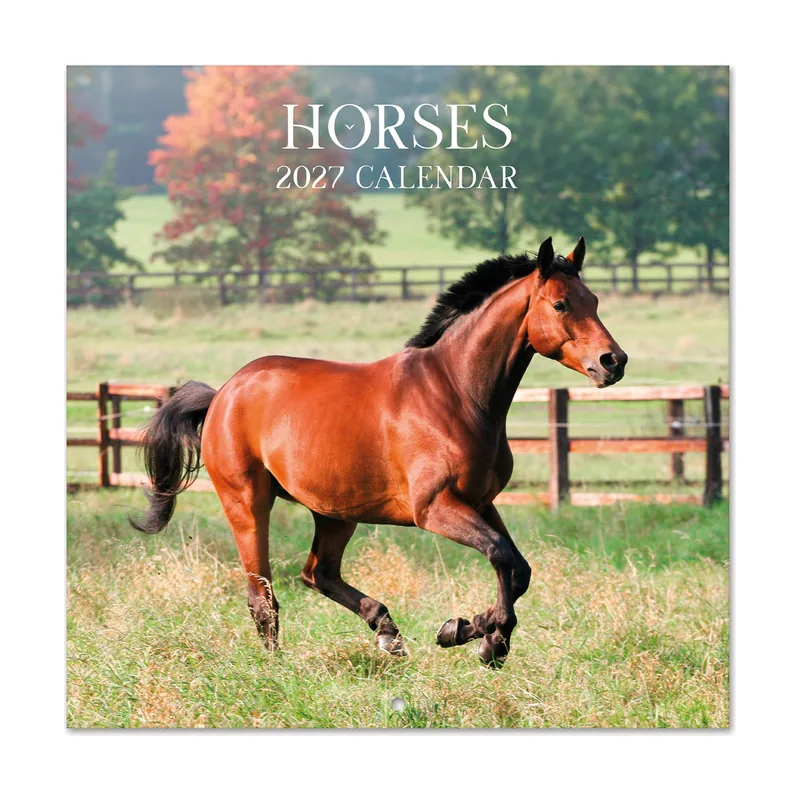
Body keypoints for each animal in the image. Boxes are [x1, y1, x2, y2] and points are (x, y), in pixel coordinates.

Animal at [130, 237, 627, 667]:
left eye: (595, 301)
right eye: (561, 304)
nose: (613, 362)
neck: (456, 392)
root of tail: (223, 394)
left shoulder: (482, 502)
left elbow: (516, 568)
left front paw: (474, 633)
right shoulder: (435, 508)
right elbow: (502, 557)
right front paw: (483, 636)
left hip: (335, 512)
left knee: (318, 573)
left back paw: (387, 631)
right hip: (248, 503)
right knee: (263, 596)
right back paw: (278, 667)